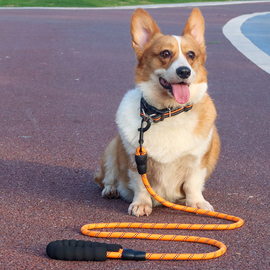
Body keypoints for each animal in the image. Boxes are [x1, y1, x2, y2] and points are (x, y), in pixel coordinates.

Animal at [94, 7, 219, 216]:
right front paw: (141, 204)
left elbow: (192, 184)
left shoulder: (197, 161)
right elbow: (141, 186)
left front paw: (197, 203)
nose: (184, 71)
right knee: (106, 177)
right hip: (112, 147)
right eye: (165, 53)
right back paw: (111, 189)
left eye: (191, 55)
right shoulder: (136, 161)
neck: (167, 112)